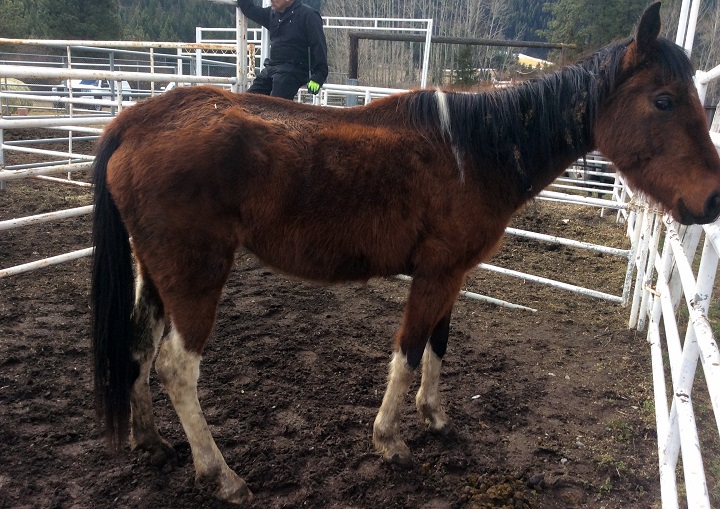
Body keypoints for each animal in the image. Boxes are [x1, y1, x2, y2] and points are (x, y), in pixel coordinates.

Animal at [90, 3, 720, 504]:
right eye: (664, 100)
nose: (712, 200)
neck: (475, 153)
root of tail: (136, 120)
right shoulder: (434, 275)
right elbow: (410, 350)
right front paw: (389, 441)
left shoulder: (452, 275)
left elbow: (439, 345)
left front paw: (434, 416)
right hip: (195, 278)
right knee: (177, 368)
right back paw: (221, 475)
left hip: (156, 275)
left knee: (139, 346)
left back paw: (151, 441)